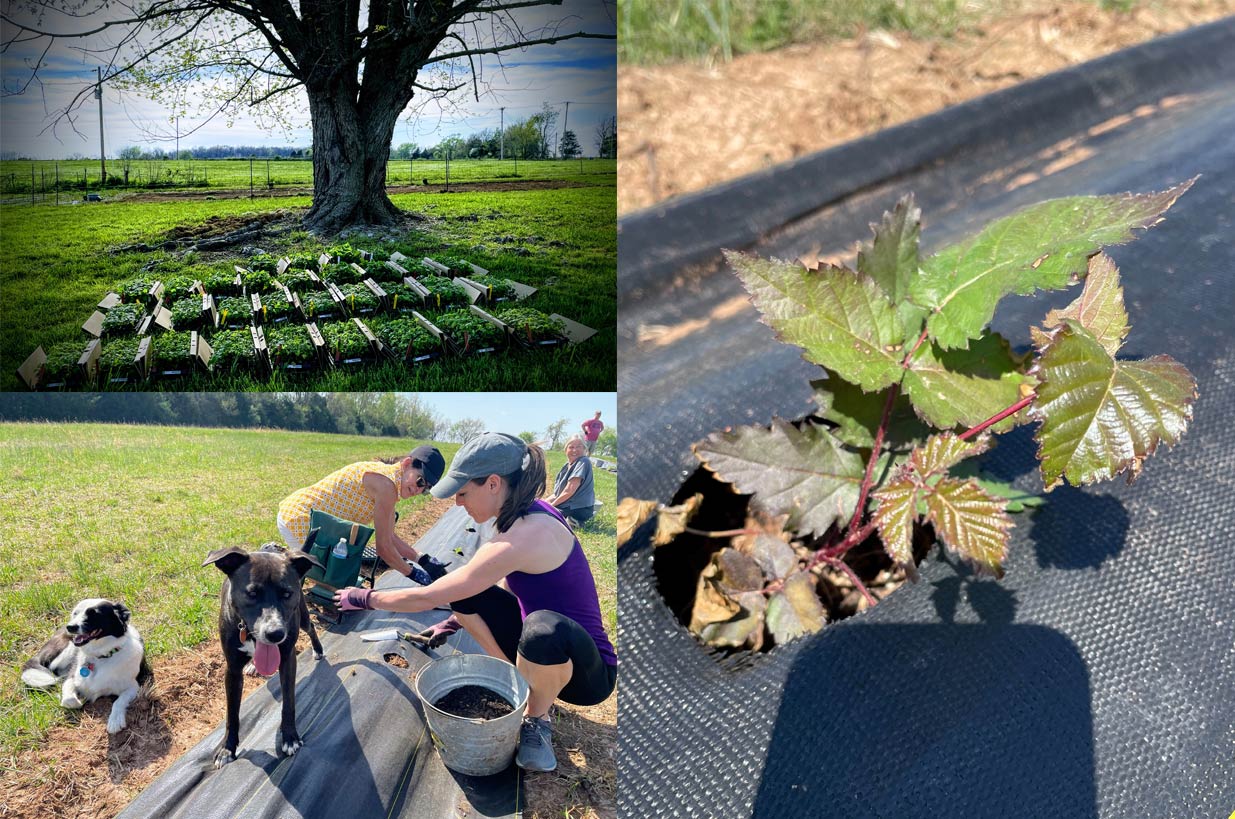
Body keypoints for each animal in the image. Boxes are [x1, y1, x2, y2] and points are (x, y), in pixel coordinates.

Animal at [19, 600, 151, 731]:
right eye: (75, 613)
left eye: (93, 614)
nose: (70, 627)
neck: (100, 656)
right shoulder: (72, 677)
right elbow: (69, 699)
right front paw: (78, 700)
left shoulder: (132, 686)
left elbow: (119, 701)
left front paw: (115, 720)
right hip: (66, 649)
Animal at [201, 543, 323, 770]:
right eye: (252, 593)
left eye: (287, 594)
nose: (275, 634)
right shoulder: (232, 670)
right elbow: (232, 714)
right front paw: (227, 748)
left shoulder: (288, 660)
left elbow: (289, 703)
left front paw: (290, 738)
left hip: (302, 616)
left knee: (311, 627)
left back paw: (318, 649)